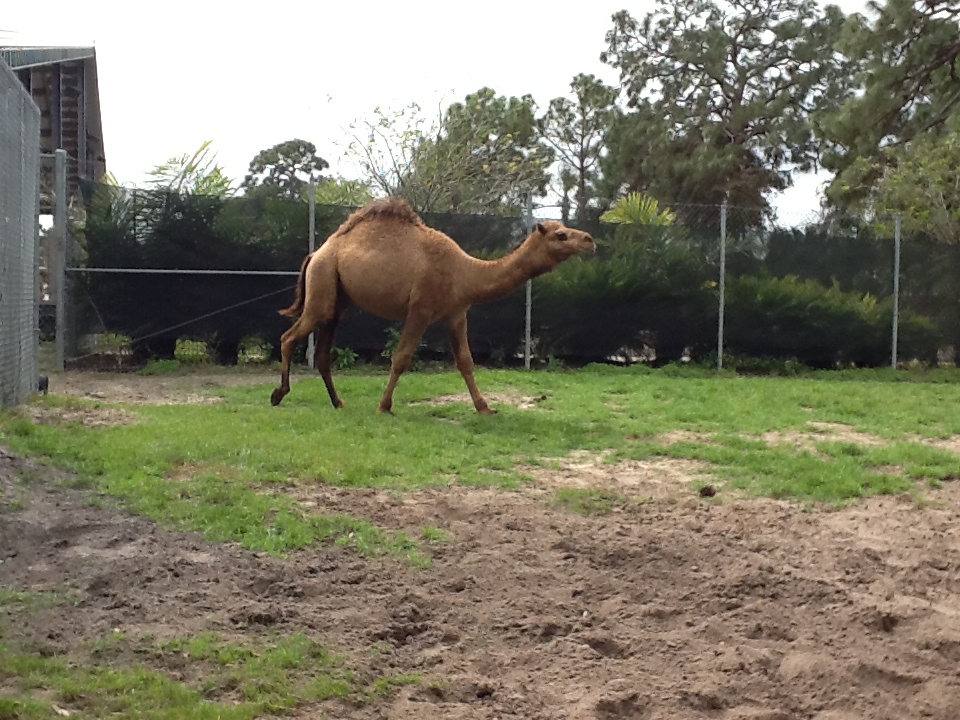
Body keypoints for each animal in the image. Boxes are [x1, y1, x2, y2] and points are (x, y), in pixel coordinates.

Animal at [270, 197, 595, 414]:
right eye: (561, 234)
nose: (590, 240)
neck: (464, 272)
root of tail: (317, 253)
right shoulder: (421, 309)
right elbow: (401, 358)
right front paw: (384, 406)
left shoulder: (456, 313)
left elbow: (465, 361)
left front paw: (485, 408)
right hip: (323, 283)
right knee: (288, 337)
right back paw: (278, 395)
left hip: (338, 299)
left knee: (322, 351)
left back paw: (338, 402)